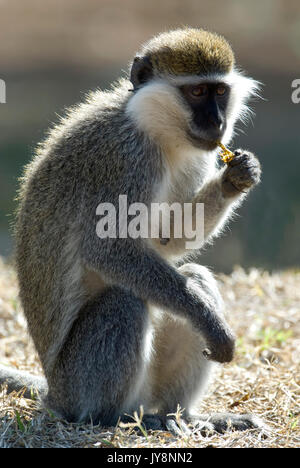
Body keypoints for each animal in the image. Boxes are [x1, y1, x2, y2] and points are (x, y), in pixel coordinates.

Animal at [0, 27, 262, 434]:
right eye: (196, 92)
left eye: (220, 91)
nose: (217, 122)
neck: (154, 129)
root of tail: (54, 394)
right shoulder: (126, 159)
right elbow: (108, 249)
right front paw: (210, 322)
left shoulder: (195, 157)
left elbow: (166, 240)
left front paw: (235, 177)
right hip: (78, 382)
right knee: (124, 301)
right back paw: (116, 418)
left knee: (194, 276)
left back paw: (182, 416)